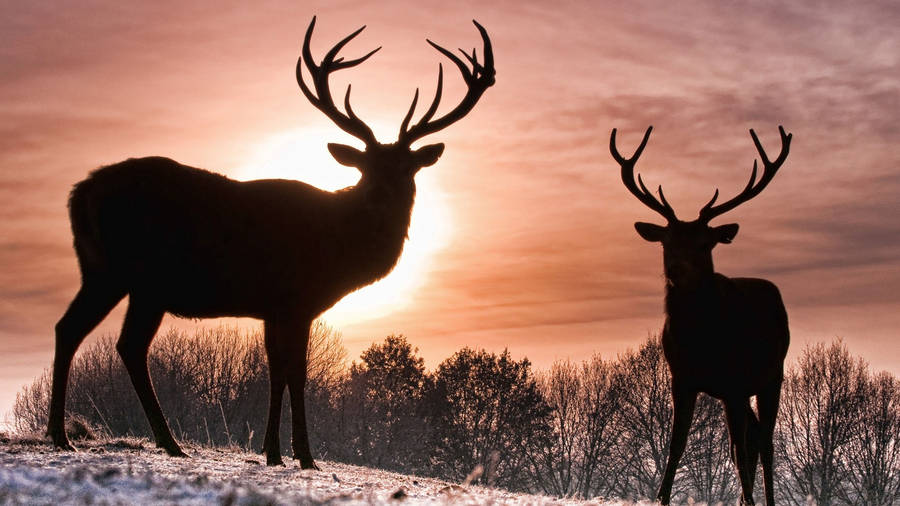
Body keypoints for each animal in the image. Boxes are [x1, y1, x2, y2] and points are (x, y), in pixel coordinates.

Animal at [46, 17, 495, 470]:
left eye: (406, 168)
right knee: (127, 344)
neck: (339, 250)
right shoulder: (297, 299)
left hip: (102, 270)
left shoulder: (271, 307)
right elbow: (296, 371)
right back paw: (163, 442)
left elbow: (274, 369)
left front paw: (271, 452)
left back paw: (63, 435)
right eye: (365, 167)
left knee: (71, 328)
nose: (378, 197)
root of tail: (79, 192)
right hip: (143, 277)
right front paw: (304, 455)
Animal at [610, 126, 792, 505]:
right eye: (666, 240)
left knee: (763, 442)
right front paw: (661, 497)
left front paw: (750, 499)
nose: (676, 269)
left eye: (705, 243)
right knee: (753, 438)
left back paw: (763, 499)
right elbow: (676, 445)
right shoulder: (682, 378)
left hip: (772, 375)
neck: (701, 339)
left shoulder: (736, 380)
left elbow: (739, 450)